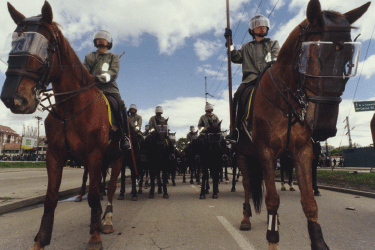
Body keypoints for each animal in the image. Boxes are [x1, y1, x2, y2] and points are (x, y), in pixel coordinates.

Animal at [236, 0, 372, 249]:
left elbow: (309, 201)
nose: (324, 126)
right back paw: (246, 218)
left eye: (350, 61)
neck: (287, 102)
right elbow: (271, 199)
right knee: (248, 187)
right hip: (243, 155)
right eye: (309, 56)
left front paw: (317, 240)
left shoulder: (302, 151)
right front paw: (272, 237)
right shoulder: (266, 152)